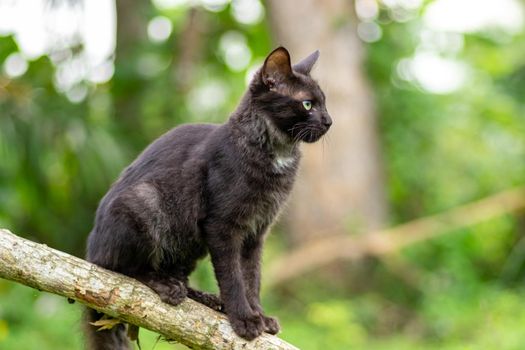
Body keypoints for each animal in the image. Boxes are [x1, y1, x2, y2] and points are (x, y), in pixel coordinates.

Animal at [86, 45, 332, 348]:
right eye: (308, 104)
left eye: (324, 103)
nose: (329, 121)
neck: (277, 154)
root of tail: (91, 252)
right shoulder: (221, 226)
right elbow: (233, 277)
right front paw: (244, 319)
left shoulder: (256, 232)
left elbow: (252, 278)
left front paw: (260, 316)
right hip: (144, 203)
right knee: (121, 269)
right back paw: (167, 286)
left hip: (189, 242)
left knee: (177, 273)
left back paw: (205, 298)